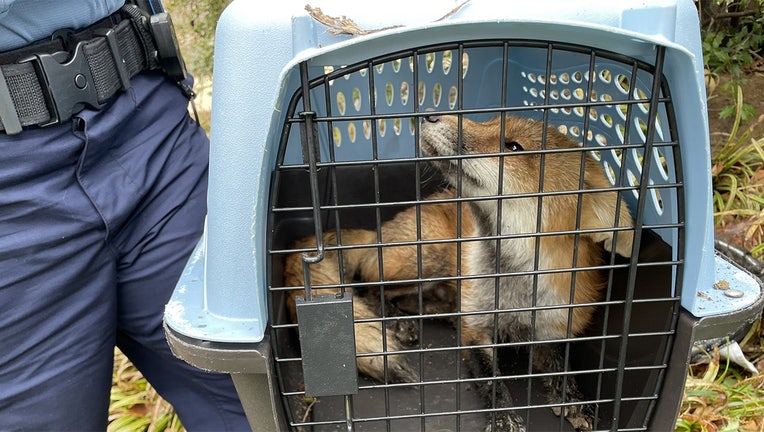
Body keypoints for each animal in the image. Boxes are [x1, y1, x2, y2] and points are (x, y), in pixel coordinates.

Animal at [284, 113, 636, 430]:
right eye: (490, 121)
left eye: (513, 146)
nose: (430, 114)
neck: (513, 289)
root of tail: (379, 231)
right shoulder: (475, 331)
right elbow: (492, 380)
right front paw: (505, 419)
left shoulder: (553, 326)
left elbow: (563, 367)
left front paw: (575, 401)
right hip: (427, 258)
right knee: (370, 287)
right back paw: (397, 321)